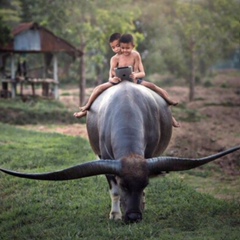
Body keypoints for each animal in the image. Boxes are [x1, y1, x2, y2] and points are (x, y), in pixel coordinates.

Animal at [0, 81, 240, 223]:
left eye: (145, 184)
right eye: (124, 185)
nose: (133, 216)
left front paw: (142, 203)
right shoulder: (105, 159)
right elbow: (113, 191)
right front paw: (115, 215)